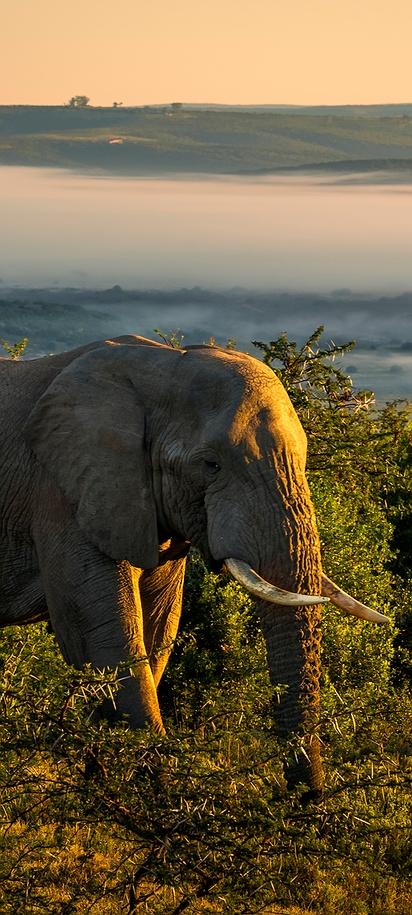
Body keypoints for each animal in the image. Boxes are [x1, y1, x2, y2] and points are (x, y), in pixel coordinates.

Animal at [0, 334, 388, 800]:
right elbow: (104, 637)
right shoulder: (62, 494)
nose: (299, 800)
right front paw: (159, 805)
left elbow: (158, 628)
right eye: (211, 465)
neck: (161, 362)